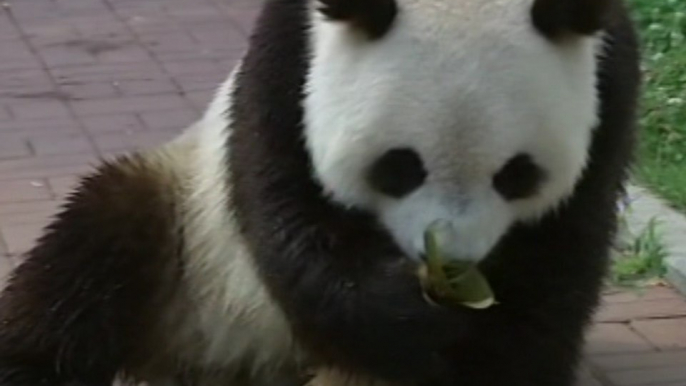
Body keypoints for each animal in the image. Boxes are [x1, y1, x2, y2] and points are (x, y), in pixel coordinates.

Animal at [0, 0, 644, 384]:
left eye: (516, 173)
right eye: (399, 167)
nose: (452, 264)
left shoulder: (611, 82)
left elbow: (562, 251)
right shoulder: (290, 56)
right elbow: (286, 210)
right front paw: (410, 315)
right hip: (189, 240)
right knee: (91, 252)